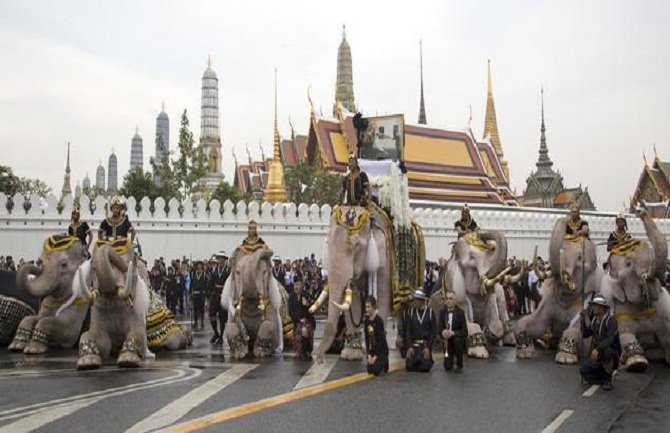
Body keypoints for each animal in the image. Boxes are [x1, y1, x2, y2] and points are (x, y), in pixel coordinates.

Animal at [76, 238, 150, 370]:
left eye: (128, 262)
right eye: (93, 268)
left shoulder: (136, 310)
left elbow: (139, 333)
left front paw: (128, 361)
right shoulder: (97, 311)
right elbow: (98, 339)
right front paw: (87, 362)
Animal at [430, 230, 516, 358]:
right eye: (472, 257)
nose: (478, 232)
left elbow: (496, 323)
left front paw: (491, 338)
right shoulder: (455, 287)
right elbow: (467, 320)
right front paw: (481, 353)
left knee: (502, 304)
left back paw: (510, 341)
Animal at [516, 215, 600, 362]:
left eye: (580, 258)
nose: (570, 217)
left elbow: (580, 333)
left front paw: (565, 358)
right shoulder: (548, 300)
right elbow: (532, 322)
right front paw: (525, 352)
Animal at [600, 208, 670, 370]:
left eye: (651, 256)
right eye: (628, 264)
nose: (640, 211)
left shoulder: (663, 309)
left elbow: (666, 335)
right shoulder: (621, 308)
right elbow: (626, 334)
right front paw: (637, 364)